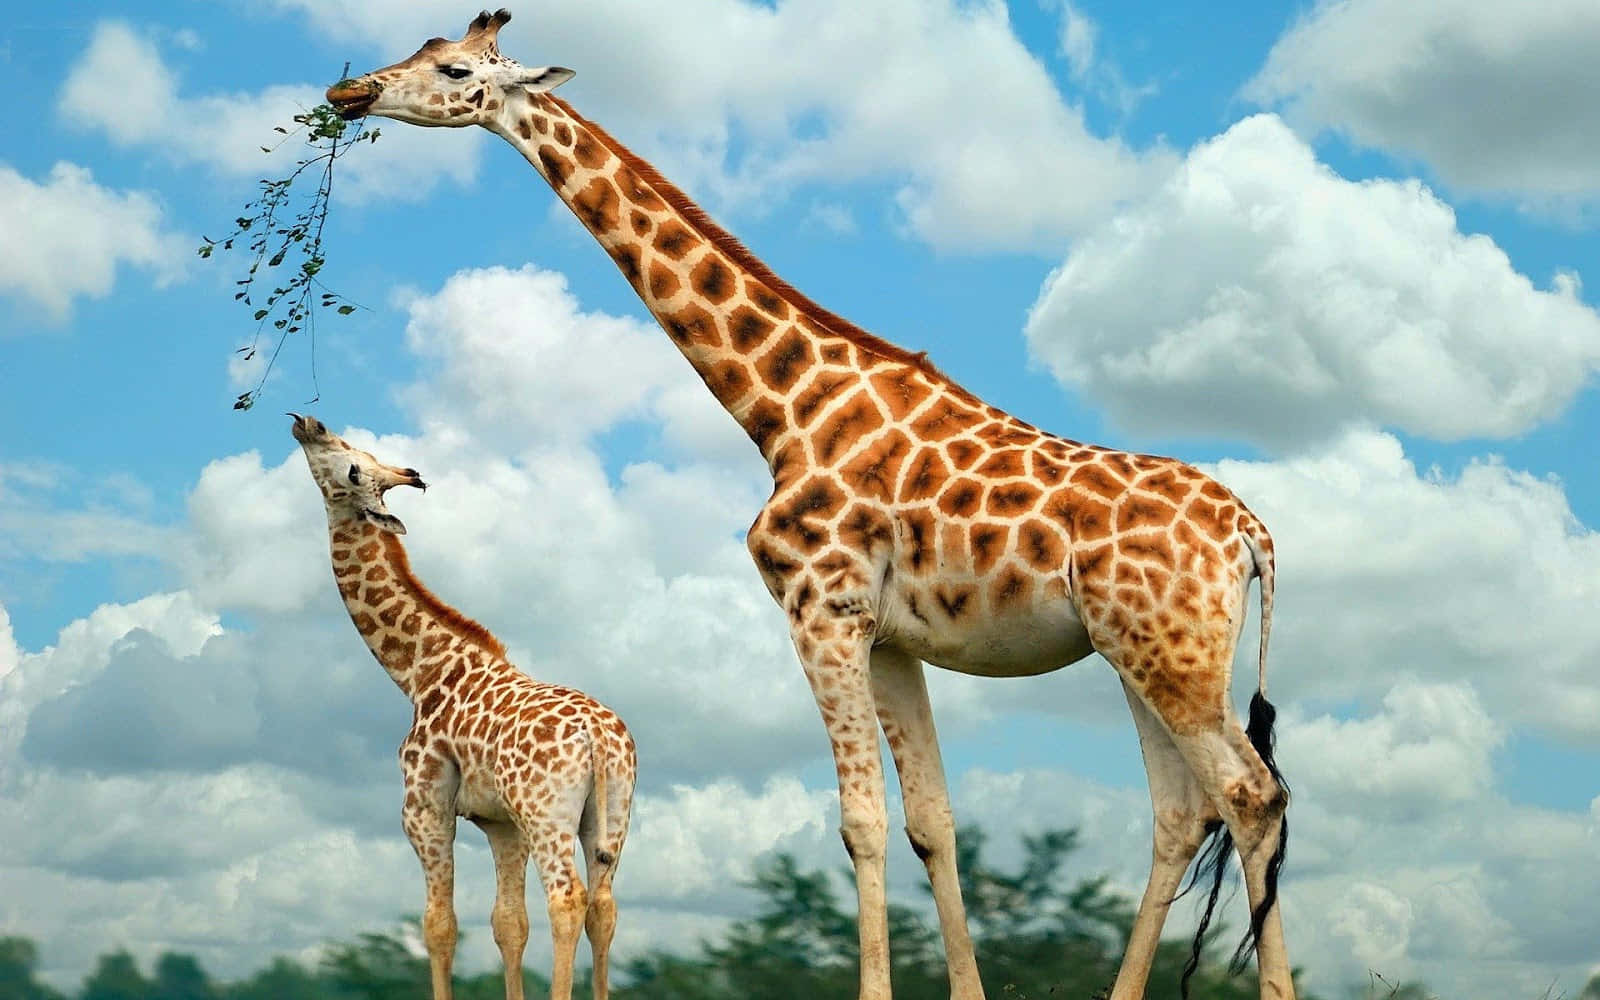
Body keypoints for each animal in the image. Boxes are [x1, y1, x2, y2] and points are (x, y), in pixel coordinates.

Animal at [290, 413, 637, 1000]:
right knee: (603, 908)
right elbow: (508, 924)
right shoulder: (501, 823)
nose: (308, 424)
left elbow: (438, 925)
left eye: (353, 465)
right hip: (612, 814)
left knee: (566, 900)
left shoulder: (424, 809)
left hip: (549, 813)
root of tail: (598, 736)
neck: (418, 671)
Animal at [325, 11, 1293, 1000]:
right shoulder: (891, 638)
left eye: (453, 69)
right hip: (1141, 652)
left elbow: (860, 820)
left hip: (1169, 654)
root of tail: (1251, 536)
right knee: (1183, 812)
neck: (782, 410)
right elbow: (931, 822)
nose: (348, 92)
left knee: (1252, 795)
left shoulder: (820, 610)